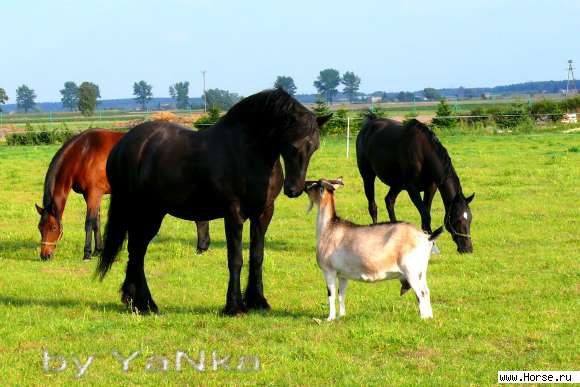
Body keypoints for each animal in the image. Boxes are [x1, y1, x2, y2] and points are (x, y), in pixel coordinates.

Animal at [35, 130, 211, 260]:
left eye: (53, 227)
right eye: (39, 228)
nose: (45, 256)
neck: (83, 153)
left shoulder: (94, 193)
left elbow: (89, 222)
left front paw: (87, 253)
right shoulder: (91, 195)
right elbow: (97, 222)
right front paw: (98, 250)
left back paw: (201, 248)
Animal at [97, 89, 328, 316]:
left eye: (314, 148)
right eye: (292, 145)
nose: (294, 189)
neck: (247, 153)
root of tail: (122, 145)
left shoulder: (263, 213)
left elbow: (257, 255)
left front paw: (258, 301)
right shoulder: (233, 213)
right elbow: (235, 258)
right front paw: (234, 307)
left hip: (150, 213)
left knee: (136, 250)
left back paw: (134, 301)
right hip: (145, 212)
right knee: (137, 251)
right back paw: (146, 304)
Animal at [302, 179, 442, 322]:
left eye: (316, 184)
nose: (305, 185)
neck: (329, 228)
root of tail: (426, 237)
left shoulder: (328, 270)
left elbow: (331, 295)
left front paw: (330, 318)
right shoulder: (343, 274)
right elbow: (341, 294)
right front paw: (342, 315)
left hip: (411, 271)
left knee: (421, 293)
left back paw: (423, 318)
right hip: (421, 271)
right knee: (426, 290)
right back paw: (429, 317)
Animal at [356, 114, 474, 255]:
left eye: (470, 219)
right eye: (457, 220)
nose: (467, 249)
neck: (423, 152)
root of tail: (368, 124)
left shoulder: (431, 188)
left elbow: (425, 214)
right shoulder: (412, 189)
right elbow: (426, 215)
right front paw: (432, 246)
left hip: (397, 184)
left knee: (389, 200)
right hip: (368, 177)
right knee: (373, 206)